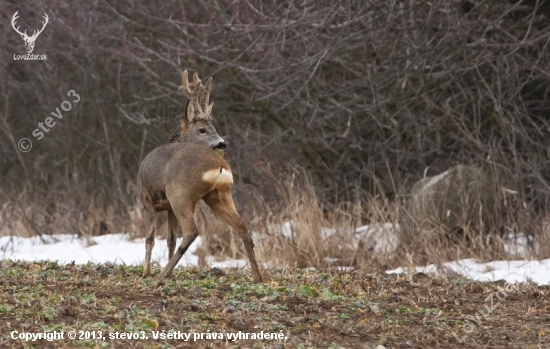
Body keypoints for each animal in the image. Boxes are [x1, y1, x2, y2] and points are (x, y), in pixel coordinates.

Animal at [140, 70, 266, 282]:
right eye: (203, 129)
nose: (222, 143)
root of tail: (220, 165)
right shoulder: (168, 208)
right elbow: (170, 239)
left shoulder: (147, 200)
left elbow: (150, 237)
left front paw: (146, 272)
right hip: (220, 195)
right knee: (243, 228)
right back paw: (257, 277)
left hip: (180, 194)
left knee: (192, 232)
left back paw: (162, 274)